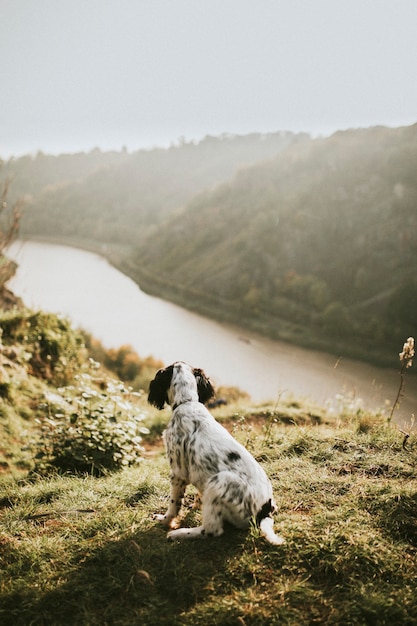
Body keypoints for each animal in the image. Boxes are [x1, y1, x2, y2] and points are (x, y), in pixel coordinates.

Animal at [148, 358, 284, 544]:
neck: (187, 402)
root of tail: (265, 509)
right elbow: (198, 493)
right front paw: (197, 504)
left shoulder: (178, 472)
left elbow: (174, 504)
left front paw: (165, 521)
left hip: (220, 481)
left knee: (213, 530)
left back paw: (180, 533)